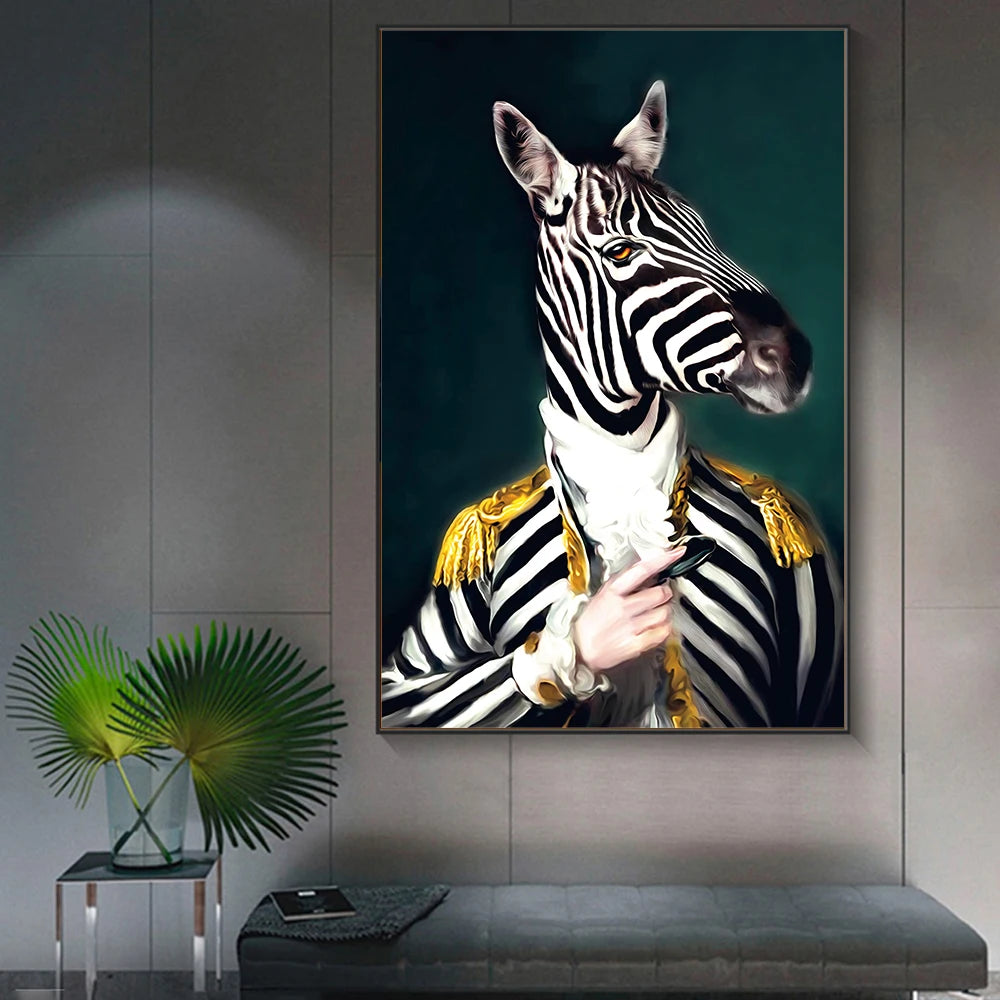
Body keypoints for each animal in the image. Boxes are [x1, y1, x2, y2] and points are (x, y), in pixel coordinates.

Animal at [380, 81, 843, 730]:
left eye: (704, 231)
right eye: (621, 252)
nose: (795, 357)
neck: (621, 457)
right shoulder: (427, 642)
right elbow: (408, 692)